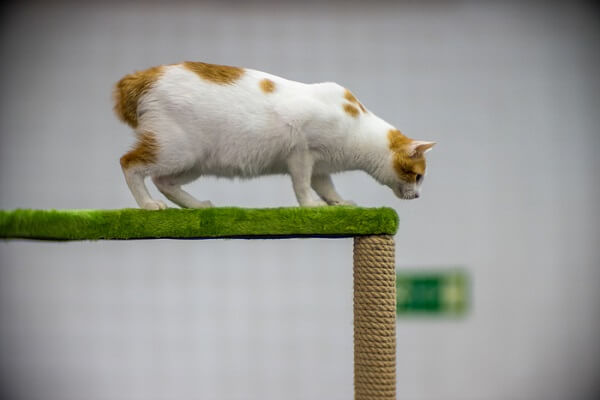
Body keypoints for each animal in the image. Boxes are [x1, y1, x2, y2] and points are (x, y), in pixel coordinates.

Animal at [112, 61, 434, 209]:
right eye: (417, 176)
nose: (419, 195)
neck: (358, 125)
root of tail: (144, 75)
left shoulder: (320, 167)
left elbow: (326, 186)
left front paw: (339, 203)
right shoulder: (302, 153)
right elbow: (302, 185)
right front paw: (311, 207)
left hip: (193, 163)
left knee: (163, 181)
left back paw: (197, 206)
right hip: (176, 150)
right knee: (130, 164)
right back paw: (148, 205)